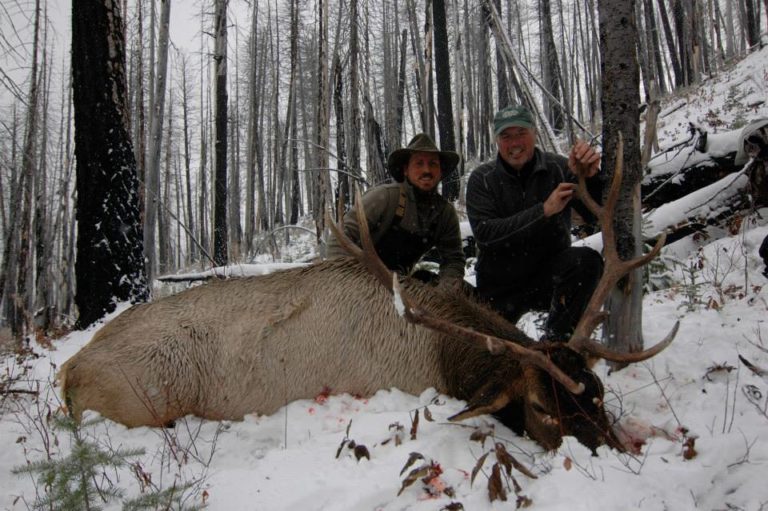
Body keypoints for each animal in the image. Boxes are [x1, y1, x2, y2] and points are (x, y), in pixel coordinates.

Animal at [59, 139, 677, 452]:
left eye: (598, 394)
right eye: (546, 410)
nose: (621, 449)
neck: (440, 352)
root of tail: (68, 372)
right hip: (142, 401)